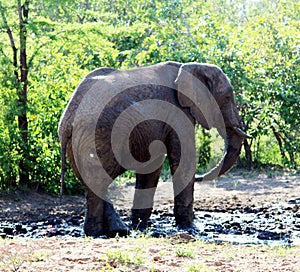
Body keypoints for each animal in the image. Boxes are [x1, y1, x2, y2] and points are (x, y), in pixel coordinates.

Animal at [58, 61, 251, 238]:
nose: (199, 177)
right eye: (227, 97)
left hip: (79, 142)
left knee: (92, 181)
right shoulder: (178, 111)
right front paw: (191, 228)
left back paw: (115, 231)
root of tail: (68, 120)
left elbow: (153, 162)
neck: (190, 67)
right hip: (101, 132)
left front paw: (140, 226)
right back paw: (97, 233)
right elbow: (183, 158)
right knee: (98, 180)